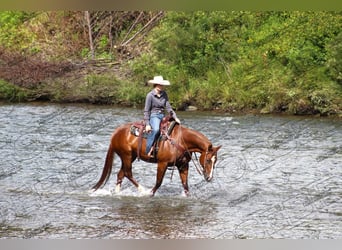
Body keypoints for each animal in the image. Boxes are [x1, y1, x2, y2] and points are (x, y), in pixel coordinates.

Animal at [91, 116, 222, 196]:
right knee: (128, 173)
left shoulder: (183, 165)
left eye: (215, 161)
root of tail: (116, 133)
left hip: (130, 157)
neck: (180, 140)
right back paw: (142, 190)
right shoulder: (162, 163)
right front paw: (150, 193)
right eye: (208, 160)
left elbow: (185, 186)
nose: (209, 177)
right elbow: (158, 182)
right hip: (126, 155)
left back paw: (118, 193)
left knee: (121, 174)